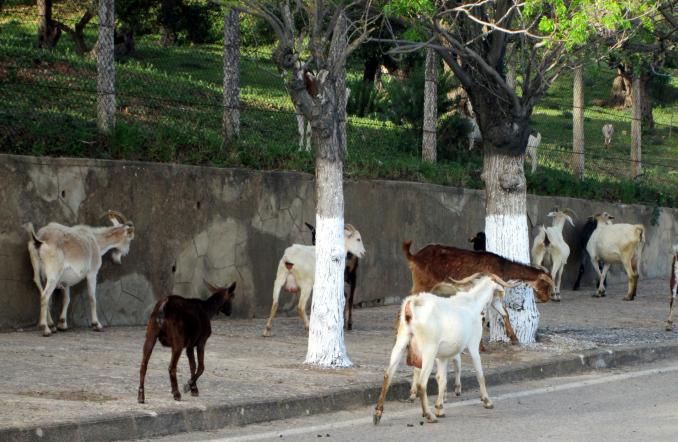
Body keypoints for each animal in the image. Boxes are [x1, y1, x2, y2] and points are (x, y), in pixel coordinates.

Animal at [373, 273, 517, 425]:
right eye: (498, 295)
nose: (503, 311)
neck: (472, 302)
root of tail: (413, 305)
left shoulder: (442, 357)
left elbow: (442, 379)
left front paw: (440, 408)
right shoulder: (473, 345)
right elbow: (479, 374)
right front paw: (487, 401)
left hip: (401, 343)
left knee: (388, 375)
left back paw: (378, 413)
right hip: (429, 350)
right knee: (421, 383)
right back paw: (428, 415)